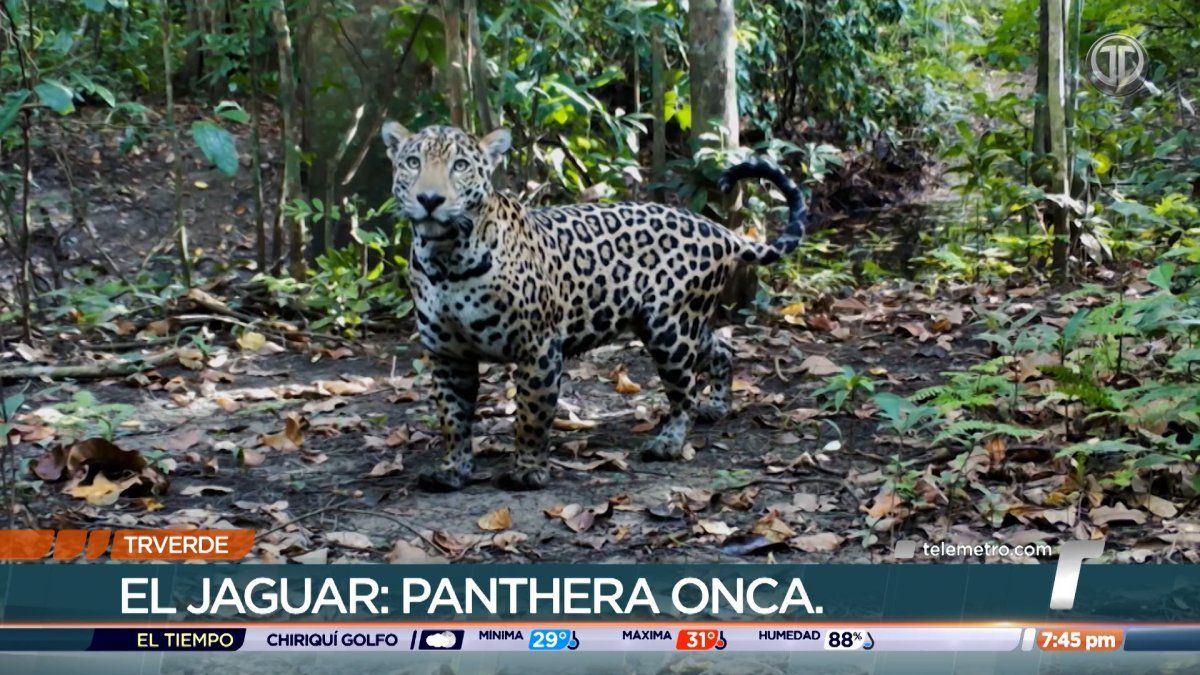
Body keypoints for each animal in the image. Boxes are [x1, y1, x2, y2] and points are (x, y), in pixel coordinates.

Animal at [381, 121, 808, 492]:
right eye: (413, 162)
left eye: (461, 166)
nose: (430, 200)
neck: (446, 259)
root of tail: (717, 229)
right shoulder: (447, 354)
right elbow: (453, 419)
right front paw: (453, 471)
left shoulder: (538, 348)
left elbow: (531, 415)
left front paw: (527, 471)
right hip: (682, 323)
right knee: (720, 348)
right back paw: (717, 405)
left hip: (669, 331)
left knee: (683, 391)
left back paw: (668, 442)